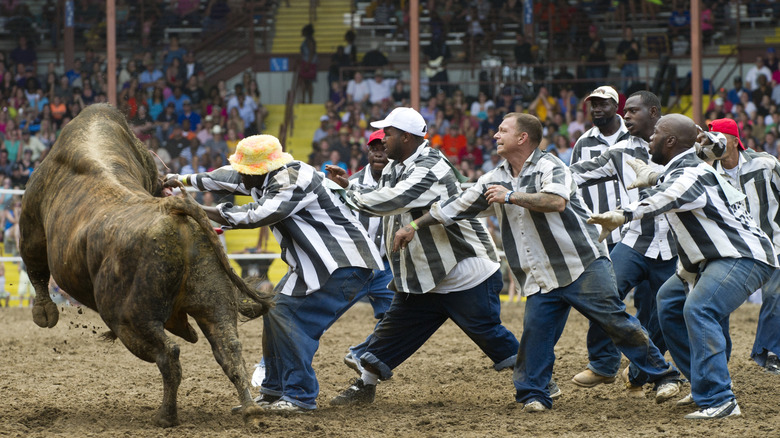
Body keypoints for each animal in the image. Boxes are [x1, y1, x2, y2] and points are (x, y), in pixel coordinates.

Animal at [19, 103, 274, 428]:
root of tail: (171, 209)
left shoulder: (32, 223)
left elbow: (35, 266)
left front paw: (44, 313)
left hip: (130, 319)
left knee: (169, 354)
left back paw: (166, 415)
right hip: (213, 301)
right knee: (228, 347)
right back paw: (250, 409)